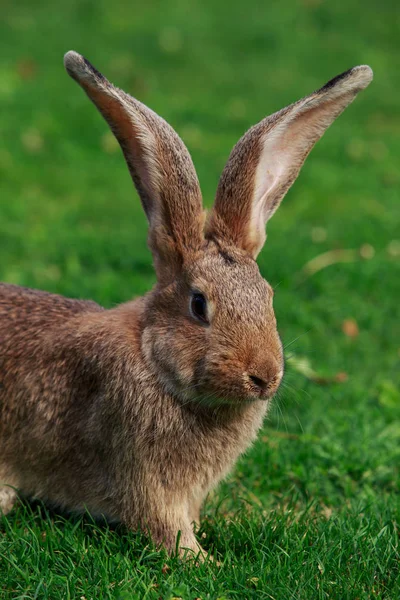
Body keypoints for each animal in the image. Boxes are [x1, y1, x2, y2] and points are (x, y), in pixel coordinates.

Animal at [0, 51, 374, 556]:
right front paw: (201, 561)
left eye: (268, 296)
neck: (152, 359)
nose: (264, 376)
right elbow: (164, 525)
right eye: (199, 305)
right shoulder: (141, 476)